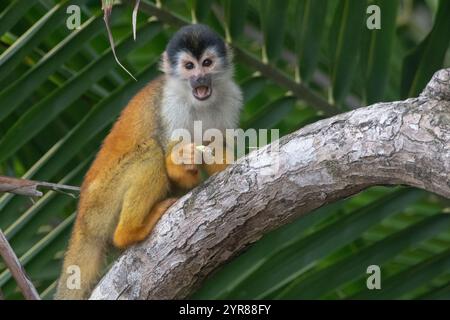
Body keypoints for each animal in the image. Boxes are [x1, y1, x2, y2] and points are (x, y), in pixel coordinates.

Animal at [55, 23, 243, 298]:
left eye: (207, 63)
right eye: (189, 66)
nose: (199, 78)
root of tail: (82, 221)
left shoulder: (230, 97)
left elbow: (214, 146)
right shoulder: (170, 105)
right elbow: (169, 156)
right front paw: (181, 165)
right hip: (101, 203)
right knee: (151, 152)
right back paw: (130, 232)